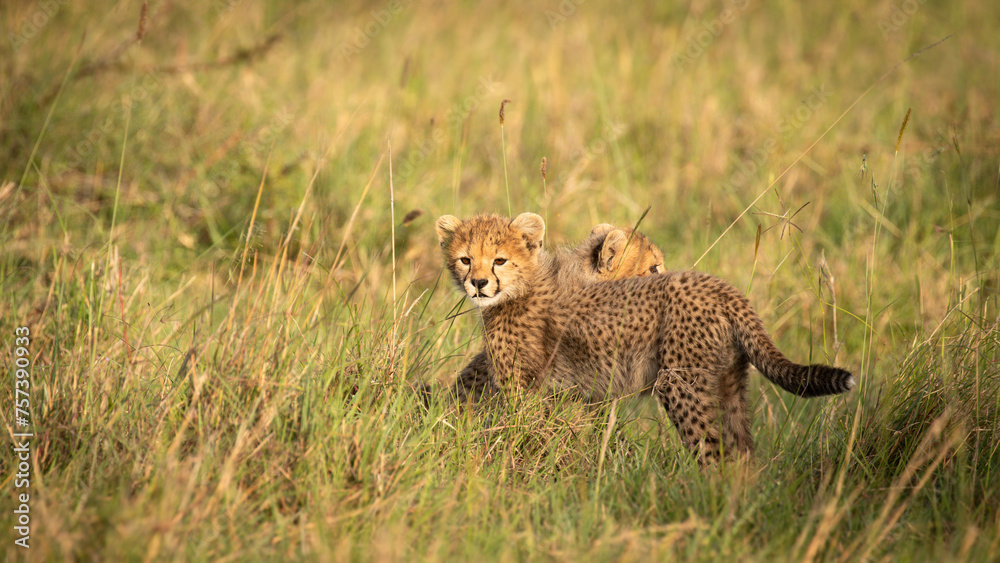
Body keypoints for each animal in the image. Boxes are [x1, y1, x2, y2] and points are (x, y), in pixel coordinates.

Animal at [435, 212, 855, 465]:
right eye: (465, 259)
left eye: (499, 260)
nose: (478, 282)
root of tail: (722, 288)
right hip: (726, 381)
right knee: (739, 455)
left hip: (681, 381)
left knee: (712, 452)